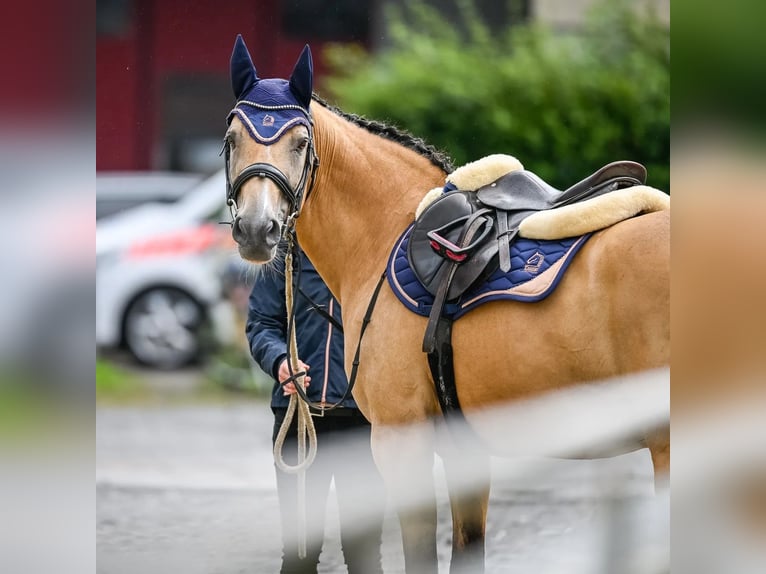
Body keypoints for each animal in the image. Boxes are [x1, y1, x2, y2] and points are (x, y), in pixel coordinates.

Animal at [224, 37, 672, 574]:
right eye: (231, 140)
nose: (257, 229)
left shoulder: (402, 442)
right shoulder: (465, 451)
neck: (387, 230)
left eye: (300, 143)